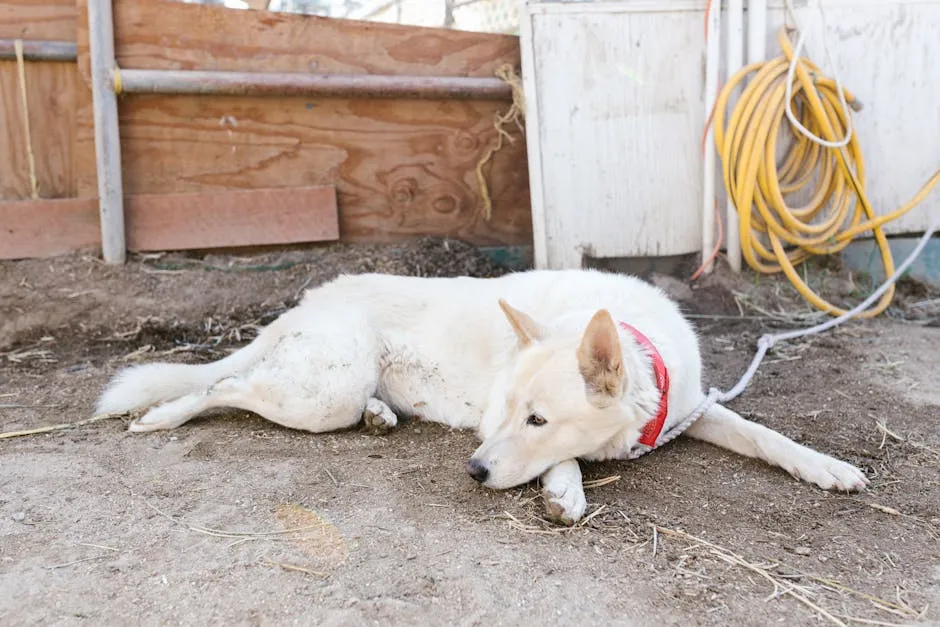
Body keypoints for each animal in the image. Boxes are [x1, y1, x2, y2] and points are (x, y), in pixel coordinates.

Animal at [95, 270, 868, 524]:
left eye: (540, 416)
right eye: (514, 411)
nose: (471, 472)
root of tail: (309, 300)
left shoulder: (693, 409)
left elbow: (766, 435)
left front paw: (828, 467)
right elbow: (563, 461)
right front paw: (565, 489)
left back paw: (382, 415)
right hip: (323, 390)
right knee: (225, 384)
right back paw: (163, 414)